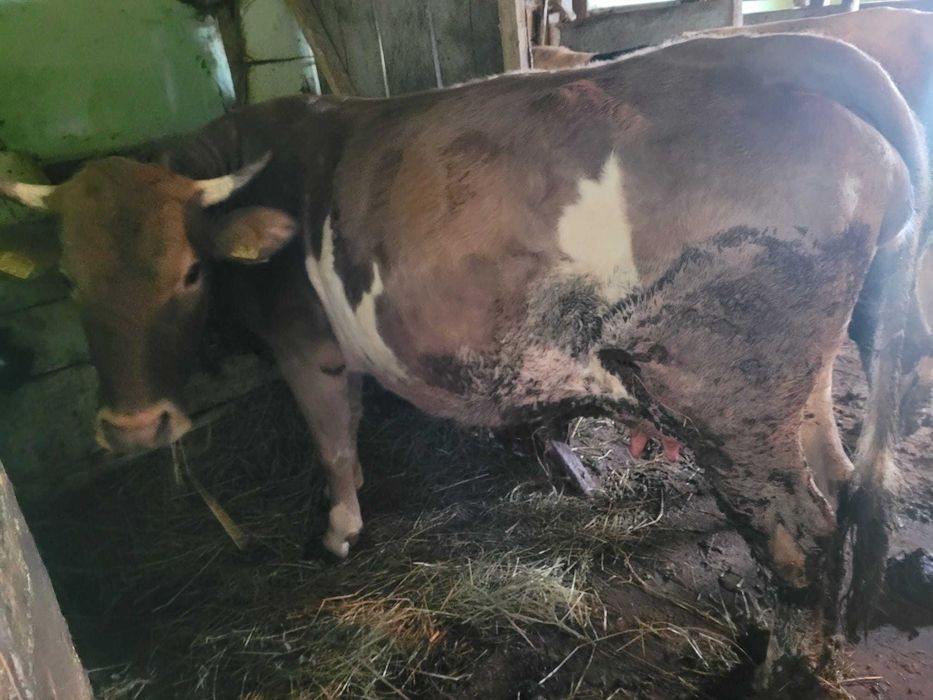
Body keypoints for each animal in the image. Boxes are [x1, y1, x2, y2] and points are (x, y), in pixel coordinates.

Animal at [1, 35, 927, 643]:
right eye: (70, 280)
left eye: (189, 273)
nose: (133, 428)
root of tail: (784, 48)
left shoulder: (308, 350)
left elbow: (333, 443)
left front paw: (339, 531)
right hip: (807, 370)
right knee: (840, 470)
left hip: (729, 398)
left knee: (801, 532)